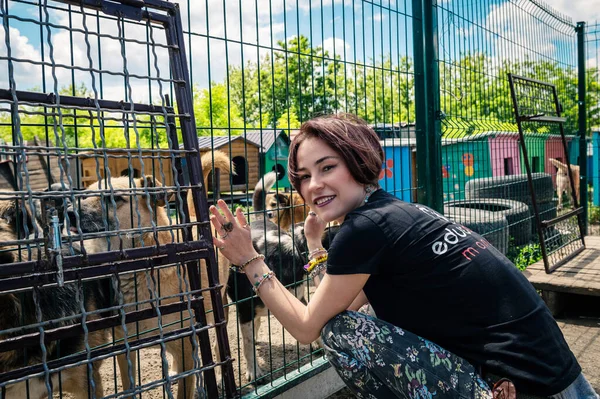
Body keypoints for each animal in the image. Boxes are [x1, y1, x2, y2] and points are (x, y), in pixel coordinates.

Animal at [68, 152, 232, 399]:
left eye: (115, 199)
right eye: (85, 195)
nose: (67, 212)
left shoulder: (186, 343)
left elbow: (185, 386)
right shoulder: (125, 349)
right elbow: (129, 387)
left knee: (215, 348)